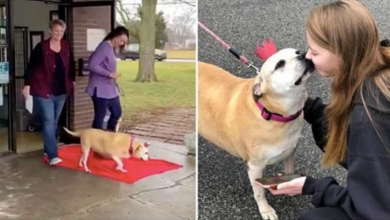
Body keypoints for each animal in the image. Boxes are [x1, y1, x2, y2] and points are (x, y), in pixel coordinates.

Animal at [200, 48, 316, 220]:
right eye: (279, 64)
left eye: (296, 51)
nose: (303, 54)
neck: (275, 114)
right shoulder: (255, 167)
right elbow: (259, 192)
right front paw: (265, 210)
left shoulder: (290, 151)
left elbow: (289, 170)